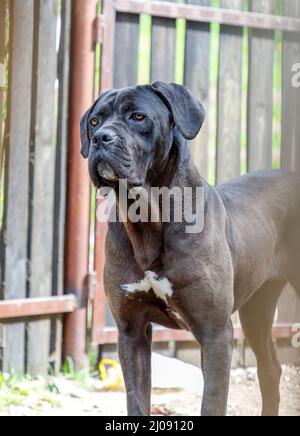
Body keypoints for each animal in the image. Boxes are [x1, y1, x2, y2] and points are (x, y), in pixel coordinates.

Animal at [80, 82, 300, 416]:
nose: (100, 137)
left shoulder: (216, 333)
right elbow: (137, 400)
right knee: (271, 369)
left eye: (138, 116)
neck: (148, 219)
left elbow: (212, 402)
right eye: (94, 121)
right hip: (257, 308)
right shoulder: (131, 331)